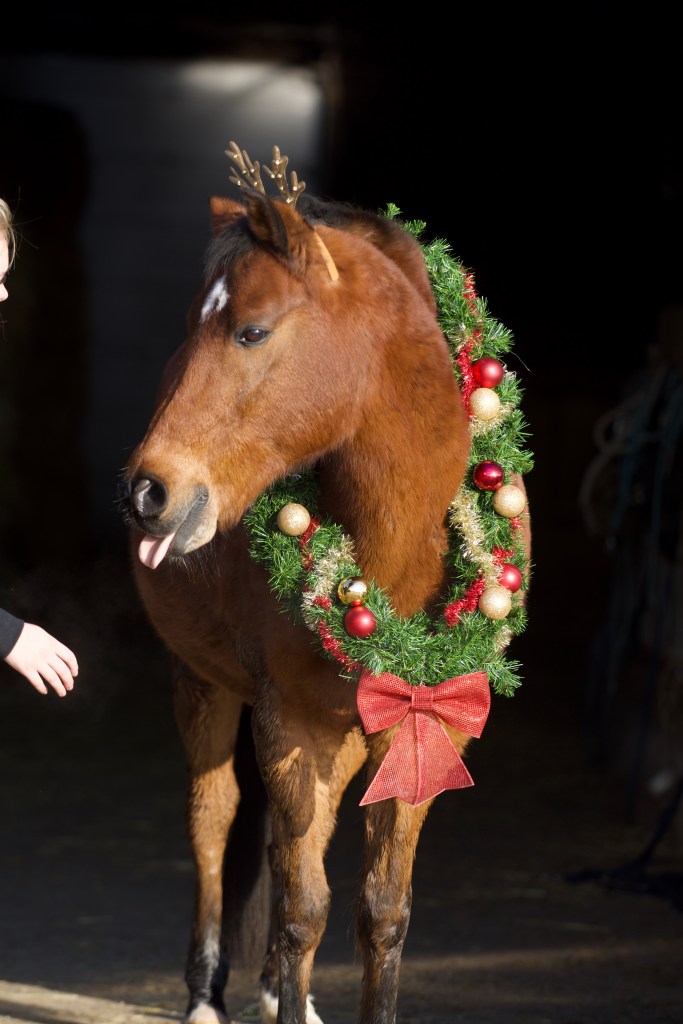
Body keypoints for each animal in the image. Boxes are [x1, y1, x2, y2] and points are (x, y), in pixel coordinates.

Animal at [121, 143, 532, 1024]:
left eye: (251, 330)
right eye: (191, 332)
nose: (147, 493)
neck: (395, 548)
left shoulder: (426, 727)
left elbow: (381, 911)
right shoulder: (293, 722)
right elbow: (301, 906)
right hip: (205, 685)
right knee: (216, 827)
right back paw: (206, 991)